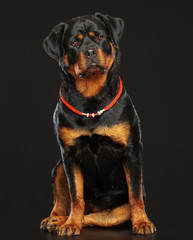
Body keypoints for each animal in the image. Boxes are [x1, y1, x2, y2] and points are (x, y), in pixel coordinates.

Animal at [40, 13, 156, 236]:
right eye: (74, 42)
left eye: (100, 37)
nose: (90, 50)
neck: (91, 98)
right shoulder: (69, 156)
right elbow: (75, 196)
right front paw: (71, 224)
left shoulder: (131, 151)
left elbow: (135, 193)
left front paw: (141, 222)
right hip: (58, 168)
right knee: (66, 202)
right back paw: (57, 219)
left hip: (115, 211)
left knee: (100, 216)